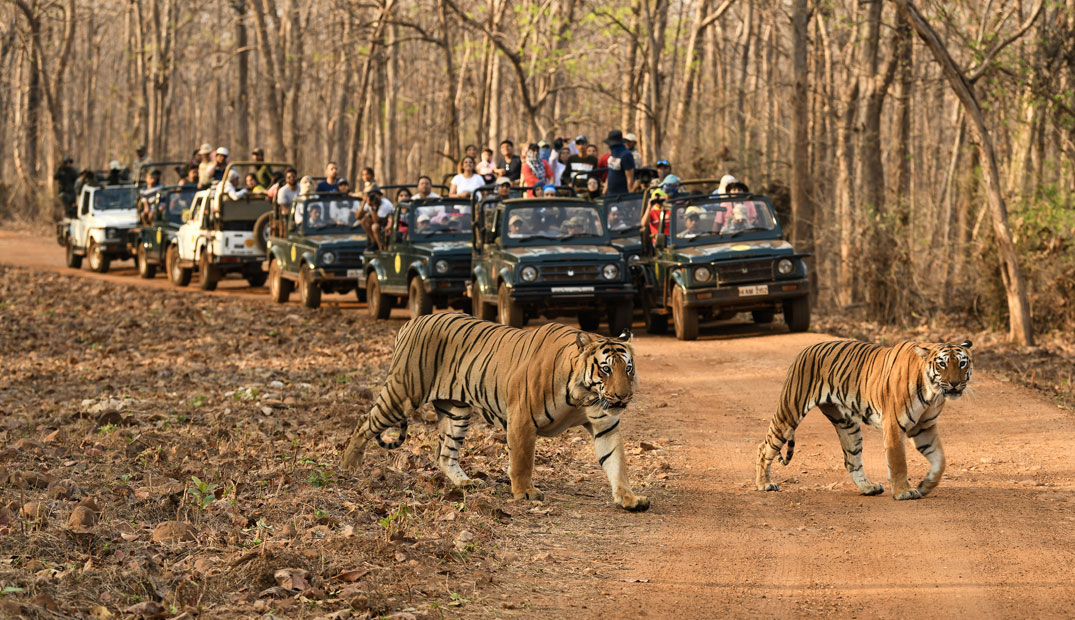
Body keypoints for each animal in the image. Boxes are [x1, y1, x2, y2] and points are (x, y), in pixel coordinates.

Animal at [339, 313, 649, 511]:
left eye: (628, 368)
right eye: (605, 369)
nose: (623, 396)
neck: (582, 394)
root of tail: (410, 322)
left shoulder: (605, 424)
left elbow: (616, 463)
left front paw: (629, 498)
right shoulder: (522, 418)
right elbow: (522, 461)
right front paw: (525, 493)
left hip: (457, 412)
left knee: (445, 453)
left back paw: (466, 483)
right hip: (403, 393)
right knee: (364, 422)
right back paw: (349, 465)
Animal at [756, 339, 976, 498]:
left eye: (962, 363)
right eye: (942, 364)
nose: (955, 384)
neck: (932, 393)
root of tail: (805, 350)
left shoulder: (924, 427)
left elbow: (940, 460)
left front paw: (926, 485)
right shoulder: (894, 425)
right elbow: (898, 462)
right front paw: (904, 491)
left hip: (846, 425)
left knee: (851, 460)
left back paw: (868, 487)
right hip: (789, 411)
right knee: (764, 446)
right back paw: (764, 484)